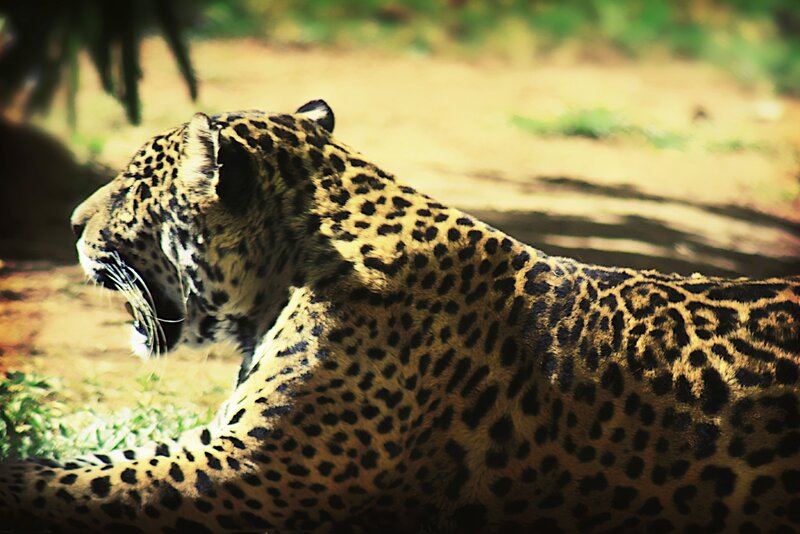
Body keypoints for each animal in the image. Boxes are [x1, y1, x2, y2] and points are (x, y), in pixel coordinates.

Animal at [1, 100, 798, 533]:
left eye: (132, 187)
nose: (70, 224)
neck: (286, 276)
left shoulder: (248, 471)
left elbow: (70, 484)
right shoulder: (217, 446)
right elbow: (76, 466)